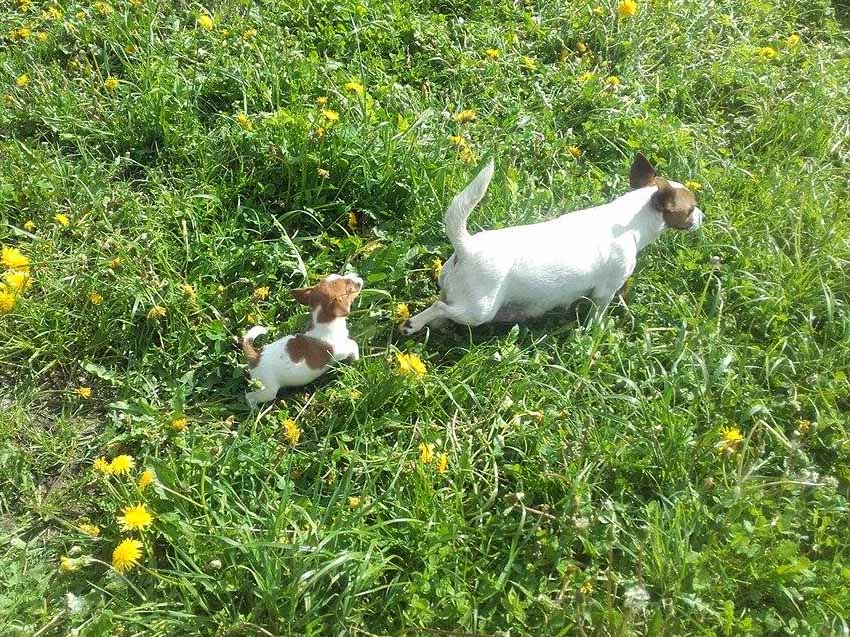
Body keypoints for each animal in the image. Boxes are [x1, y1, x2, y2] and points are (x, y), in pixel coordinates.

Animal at [238, 273, 363, 406]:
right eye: (349, 288)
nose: (358, 276)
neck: (323, 322)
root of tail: (255, 356)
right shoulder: (341, 350)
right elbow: (354, 345)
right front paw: (356, 361)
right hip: (267, 390)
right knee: (250, 396)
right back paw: (254, 409)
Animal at [401, 153, 703, 334]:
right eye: (690, 209)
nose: (703, 216)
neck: (630, 218)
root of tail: (467, 247)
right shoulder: (605, 291)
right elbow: (598, 312)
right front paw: (596, 331)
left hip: (456, 292)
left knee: (442, 306)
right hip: (480, 310)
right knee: (441, 308)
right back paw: (411, 324)